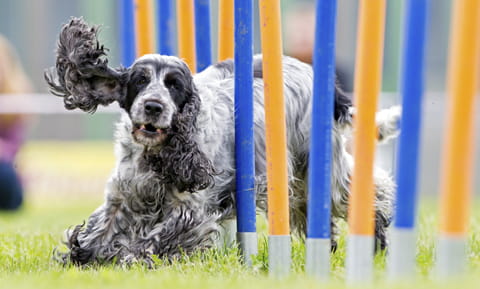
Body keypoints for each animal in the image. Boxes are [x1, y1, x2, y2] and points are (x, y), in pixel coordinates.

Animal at [45, 18, 400, 266]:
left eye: (174, 85)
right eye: (140, 80)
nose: (154, 106)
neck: (157, 154)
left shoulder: (190, 209)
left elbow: (156, 238)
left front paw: (133, 256)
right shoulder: (123, 195)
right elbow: (99, 230)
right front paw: (81, 256)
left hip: (319, 165)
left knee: (367, 193)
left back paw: (377, 243)